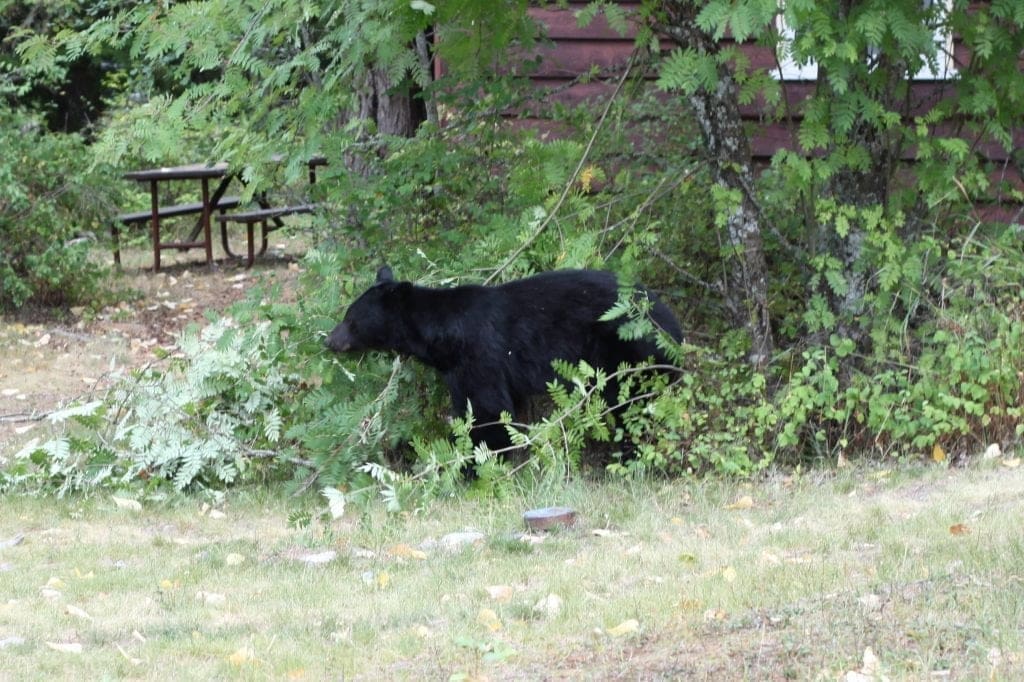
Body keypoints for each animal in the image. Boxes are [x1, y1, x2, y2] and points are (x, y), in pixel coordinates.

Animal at [323, 266, 684, 450]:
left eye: (351, 319)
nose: (330, 341)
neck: (442, 335)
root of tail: (672, 324)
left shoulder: (479, 357)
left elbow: (487, 411)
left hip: (625, 348)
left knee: (630, 400)